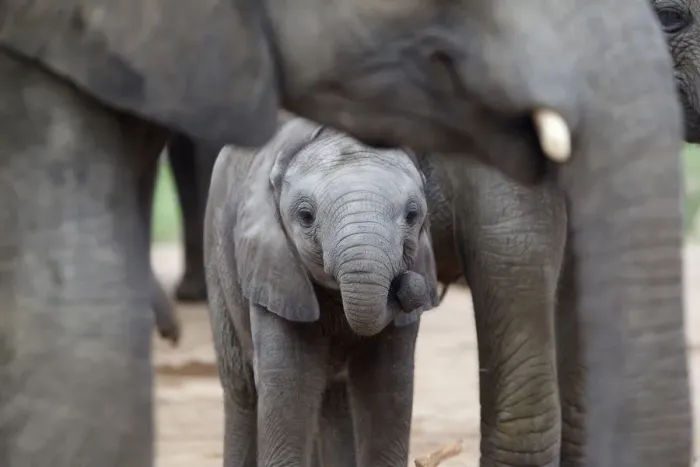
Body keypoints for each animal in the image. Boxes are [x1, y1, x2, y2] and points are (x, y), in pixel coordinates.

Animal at [204, 117, 439, 466]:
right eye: (305, 216)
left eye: (412, 216)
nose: (408, 286)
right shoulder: (274, 268)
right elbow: (290, 380)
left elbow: (387, 383)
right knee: (241, 388)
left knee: (334, 398)